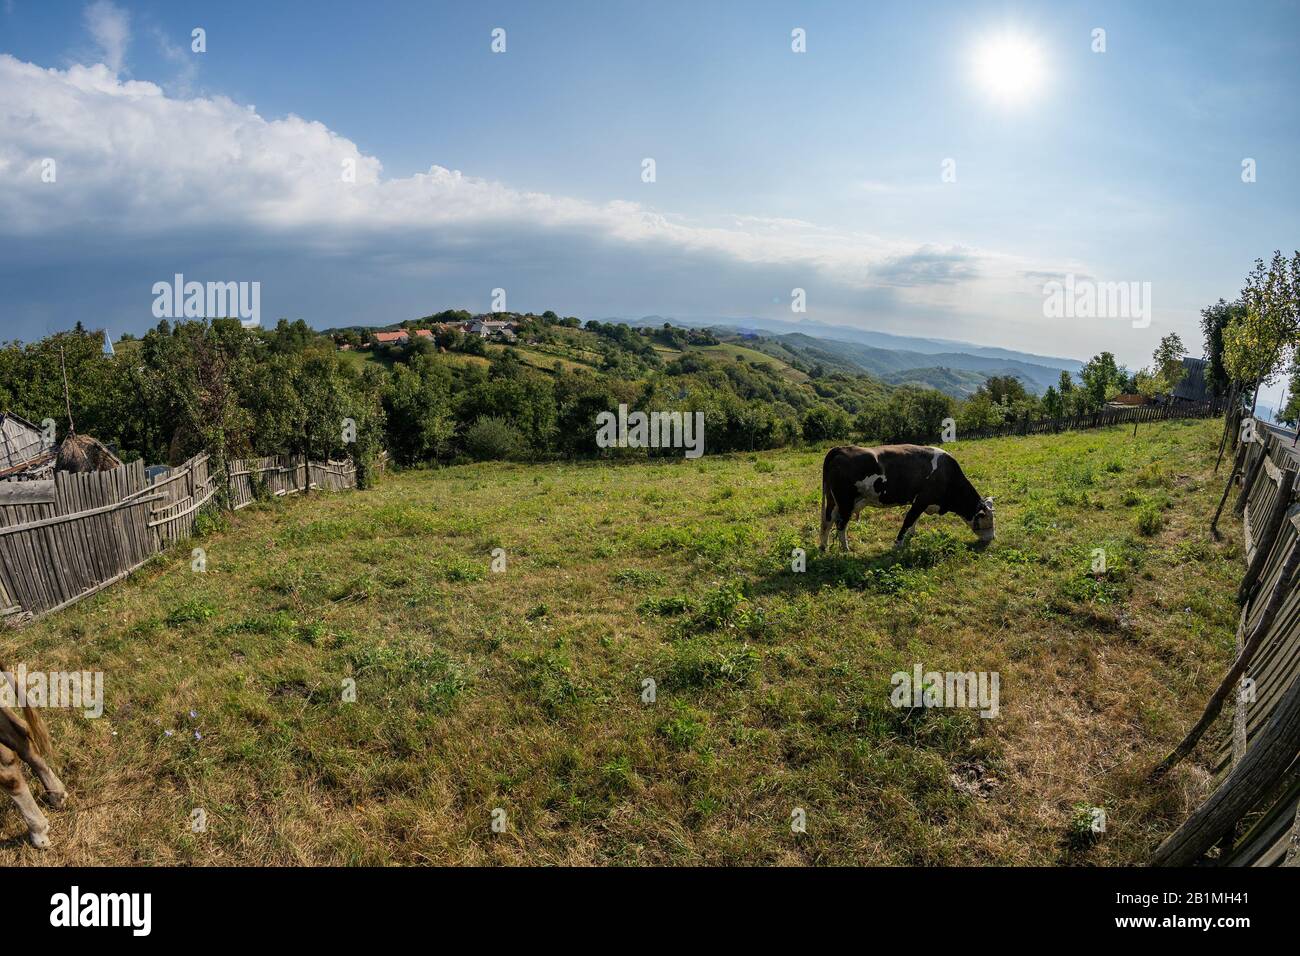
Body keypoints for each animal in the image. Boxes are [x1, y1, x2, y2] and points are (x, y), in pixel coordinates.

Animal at [821, 442, 993, 548]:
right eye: (987, 519)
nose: (991, 538)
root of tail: (841, 448)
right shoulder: (922, 500)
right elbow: (909, 520)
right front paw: (898, 543)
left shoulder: (918, 501)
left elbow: (914, 520)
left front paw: (912, 535)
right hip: (845, 502)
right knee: (841, 524)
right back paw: (845, 549)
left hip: (833, 501)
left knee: (828, 521)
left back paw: (823, 547)